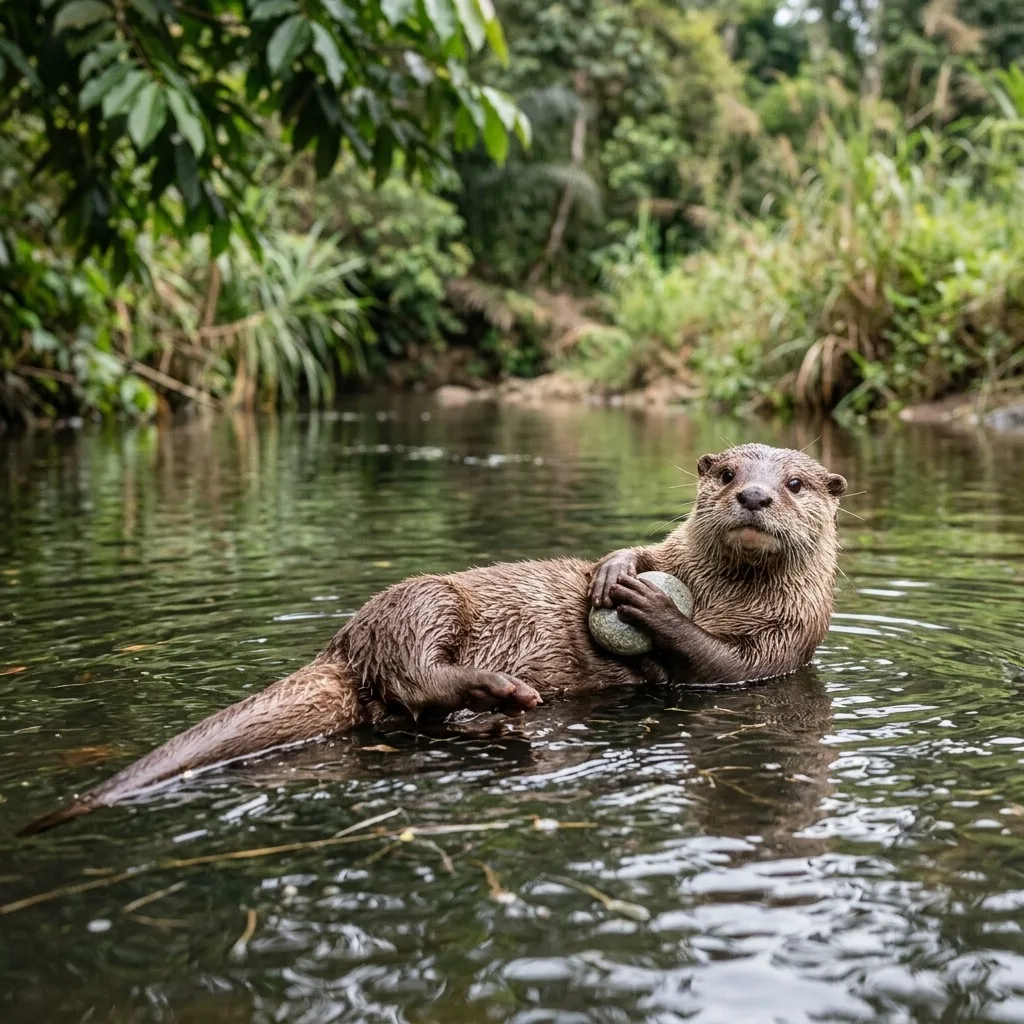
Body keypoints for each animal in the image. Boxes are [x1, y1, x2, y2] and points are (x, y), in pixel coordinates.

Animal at [18, 444, 847, 835]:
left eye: (796, 483)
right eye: (727, 472)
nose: (755, 495)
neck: (718, 592)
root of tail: (343, 644)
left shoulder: (784, 645)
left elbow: (717, 663)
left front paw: (652, 607)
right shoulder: (674, 551)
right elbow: (639, 553)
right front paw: (618, 568)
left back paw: (498, 699)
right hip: (428, 598)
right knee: (414, 671)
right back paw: (499, 692)